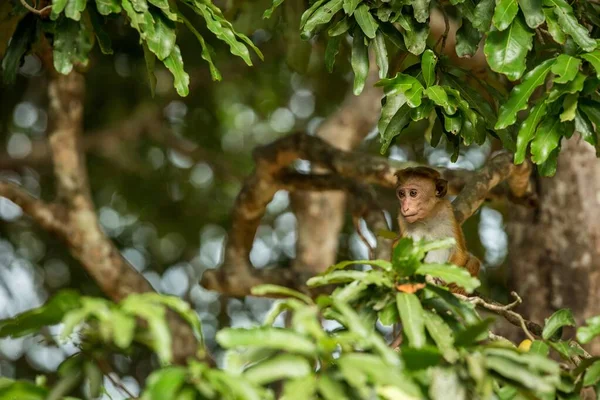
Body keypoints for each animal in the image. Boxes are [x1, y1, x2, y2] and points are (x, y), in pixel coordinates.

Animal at [392, 166, 480, 294]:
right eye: (401, 194)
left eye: (413, 193)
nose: (405, 208)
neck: (427, 218)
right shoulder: (402, 219)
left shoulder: (447, 212)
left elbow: (460, 253)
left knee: (474, 261)